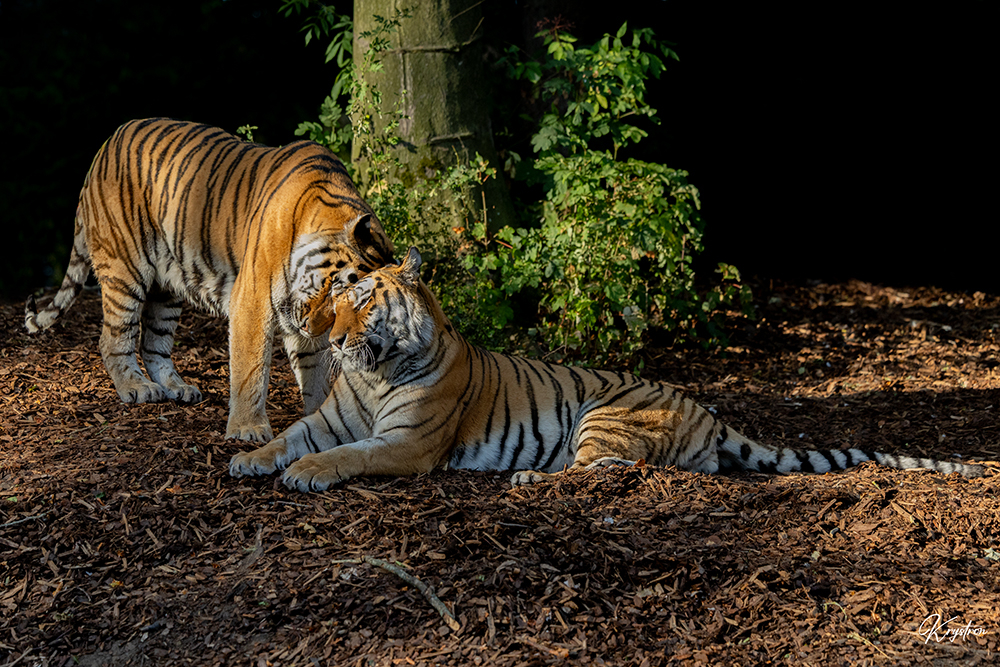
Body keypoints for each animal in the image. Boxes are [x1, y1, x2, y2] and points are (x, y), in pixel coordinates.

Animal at [24, 118, 394, 442]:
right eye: (338, 294)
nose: (310, 327)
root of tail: (104, 147)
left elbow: (314, 371)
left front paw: (319, 419)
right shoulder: (252, 301)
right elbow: (251, 370)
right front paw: (247, 429)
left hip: (166, 287)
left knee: (153, 343)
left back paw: (177, 388)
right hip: (124, 269)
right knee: (113, 338)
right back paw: (137, 388)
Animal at [228, 246, 986, 490]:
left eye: (363, 305)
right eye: (335, 300)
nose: (333, 336)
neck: (377, 369)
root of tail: (708, 413)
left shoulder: (405, 444)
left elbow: (343, 456)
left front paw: (304, 474)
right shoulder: (329, 419)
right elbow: (291, 436)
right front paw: (248, 458)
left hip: (604, 413)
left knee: (602, 471)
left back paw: (530, 478)